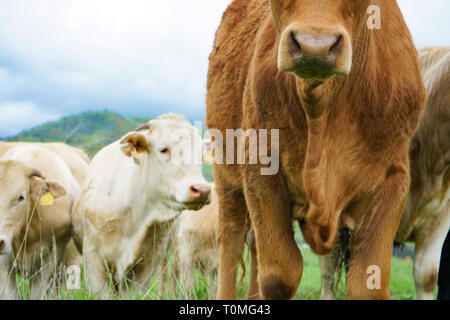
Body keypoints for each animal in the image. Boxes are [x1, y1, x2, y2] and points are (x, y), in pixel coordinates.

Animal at [207, 0, 426, 300]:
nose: (315, 47)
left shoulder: (394, 177)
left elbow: (368, 285)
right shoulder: (259, 165)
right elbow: (279, 275)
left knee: (252, 248)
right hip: (225, 174)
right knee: (231, 239)